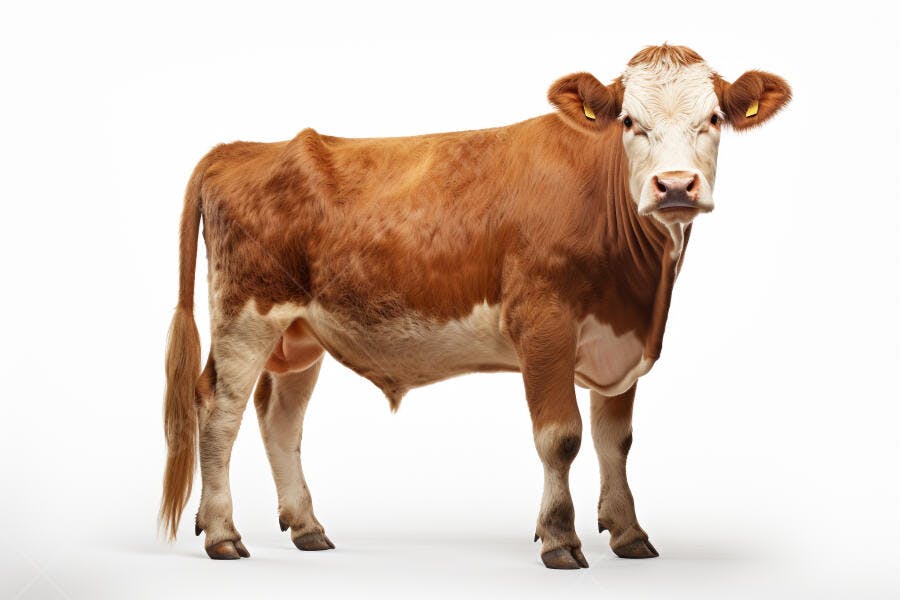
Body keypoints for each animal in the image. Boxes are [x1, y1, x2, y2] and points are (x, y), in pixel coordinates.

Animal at [160, 44, 791, 568]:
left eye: (714, 119)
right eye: (630, 122)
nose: (676, 186)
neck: (641, 289)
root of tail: (239, 150)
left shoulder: (620, 336)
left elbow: (617, 440)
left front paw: (629, 533)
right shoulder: (543, 325)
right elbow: (561, 437)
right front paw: (559, 538)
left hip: (299, 331)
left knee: (280, 419)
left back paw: (307, 527)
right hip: (246, 314)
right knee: (218, 410)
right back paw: (223, 534)